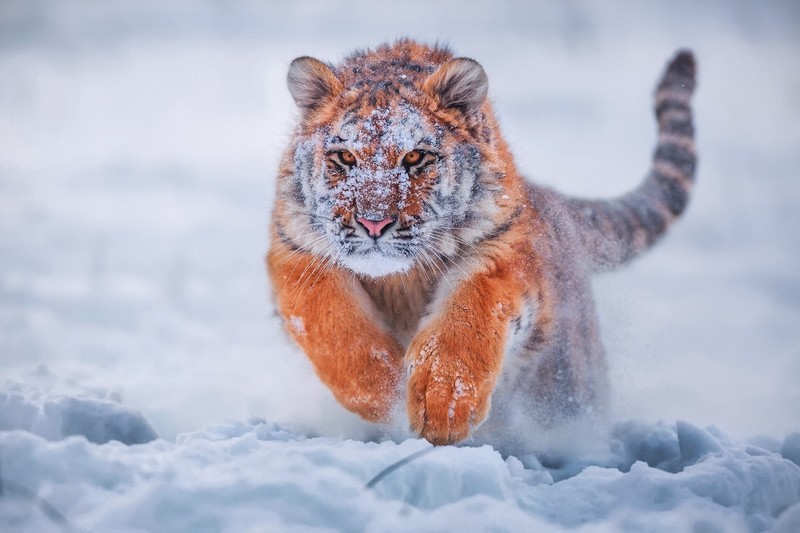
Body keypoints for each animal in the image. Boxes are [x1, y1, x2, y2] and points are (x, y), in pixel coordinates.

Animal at [266, 40, 697, 446]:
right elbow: (333, 326)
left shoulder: (501, 250)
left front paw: (443, 406)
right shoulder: (297, 252)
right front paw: (384, 392)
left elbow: (468, 315)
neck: (399, 280)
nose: (375, 222)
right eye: (344, 157)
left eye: (415, 157)